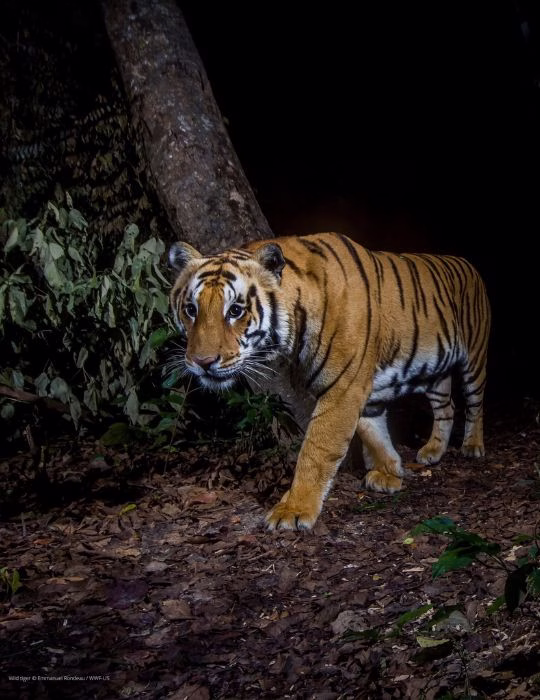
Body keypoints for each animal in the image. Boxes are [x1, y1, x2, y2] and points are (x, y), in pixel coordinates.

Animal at [168, 232, 491, 531]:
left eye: (235, 310)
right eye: (191, 310)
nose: (202, 362)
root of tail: (468, 263)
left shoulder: (344, 388)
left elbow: (317, 450)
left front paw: (294, 510)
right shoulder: (362, 389)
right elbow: (373, 431)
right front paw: (390, 471)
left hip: (474, 357)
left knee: (475, 403)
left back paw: (472, 447)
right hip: (435, 372)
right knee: (446, 407)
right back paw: (433, 451)